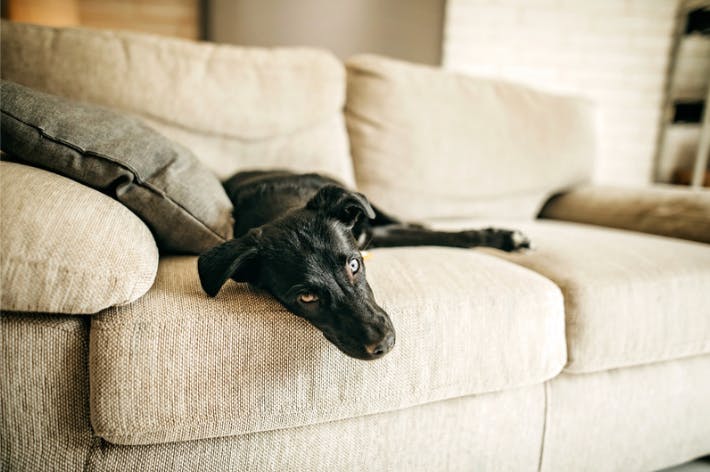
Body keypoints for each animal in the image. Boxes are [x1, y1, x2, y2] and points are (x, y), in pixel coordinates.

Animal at [197, 171, 532, 360]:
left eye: (355, 265)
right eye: (306, 297)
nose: (384, 345)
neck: (282, 208)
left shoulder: (371, 235)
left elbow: (451, 236)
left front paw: (503, 236)